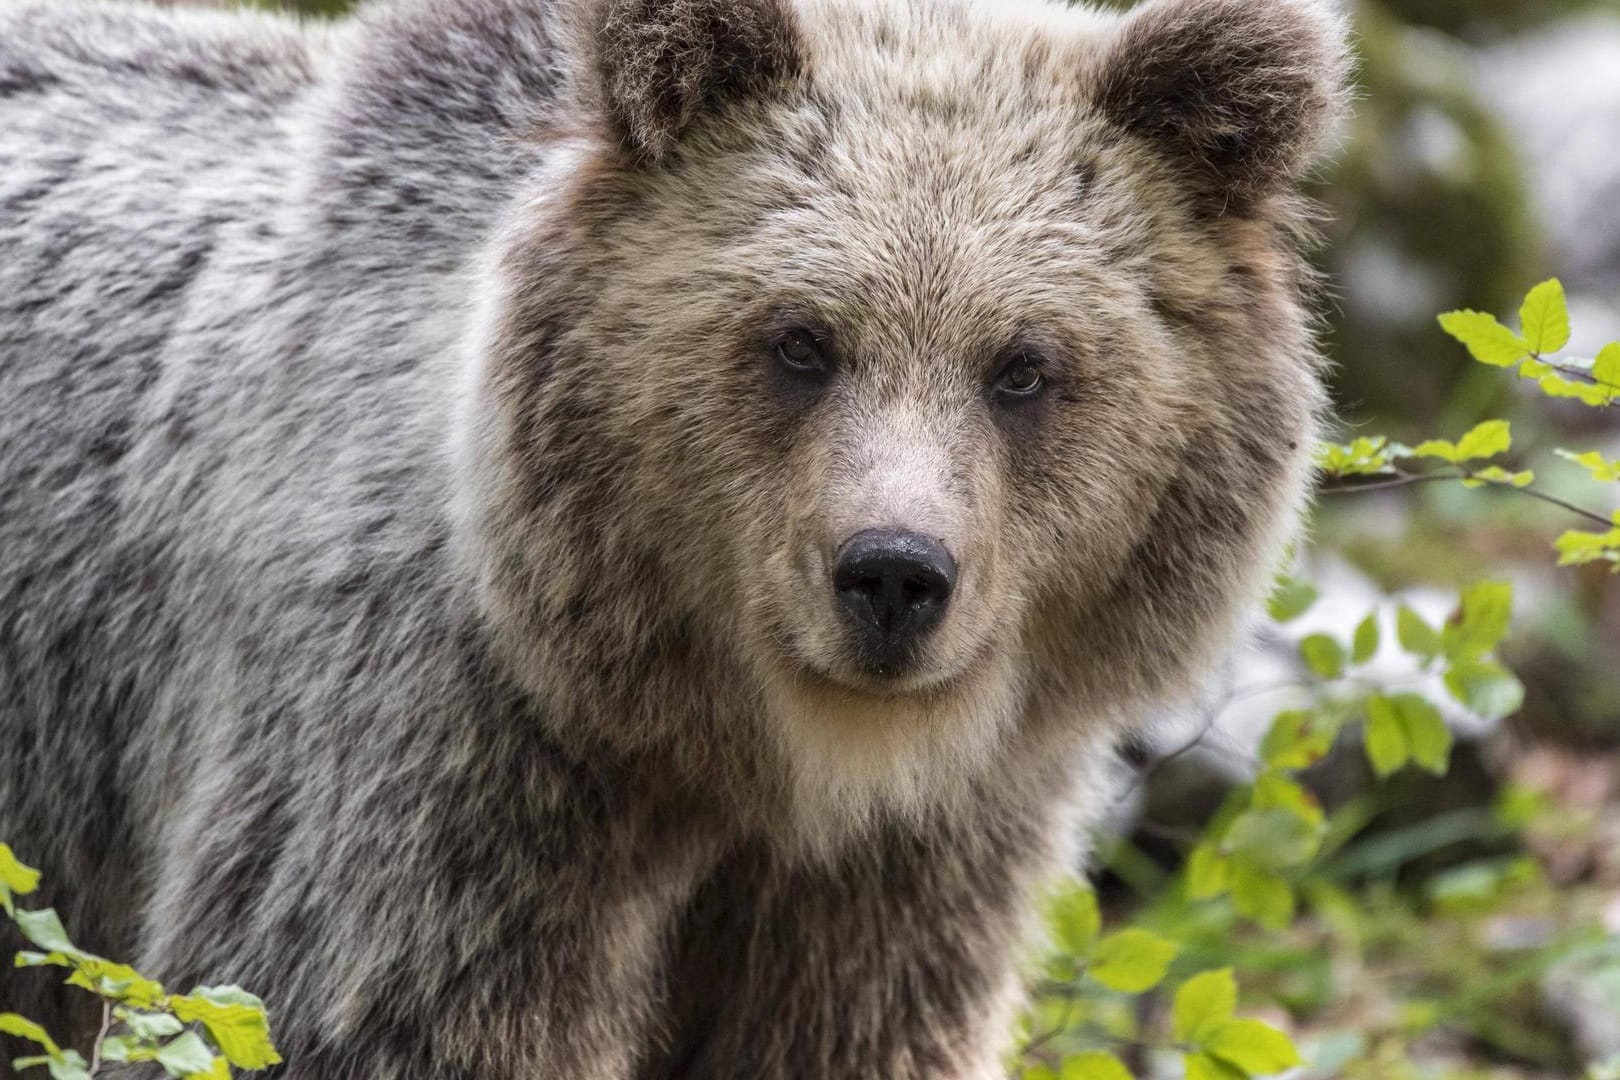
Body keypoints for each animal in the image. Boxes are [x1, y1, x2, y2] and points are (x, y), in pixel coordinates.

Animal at [0, 0, 1341, 1075]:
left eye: (1023, 366)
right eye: (800, 339)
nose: (893, 576)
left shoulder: (919, 857)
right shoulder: (447, 753)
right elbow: (342, 1006)